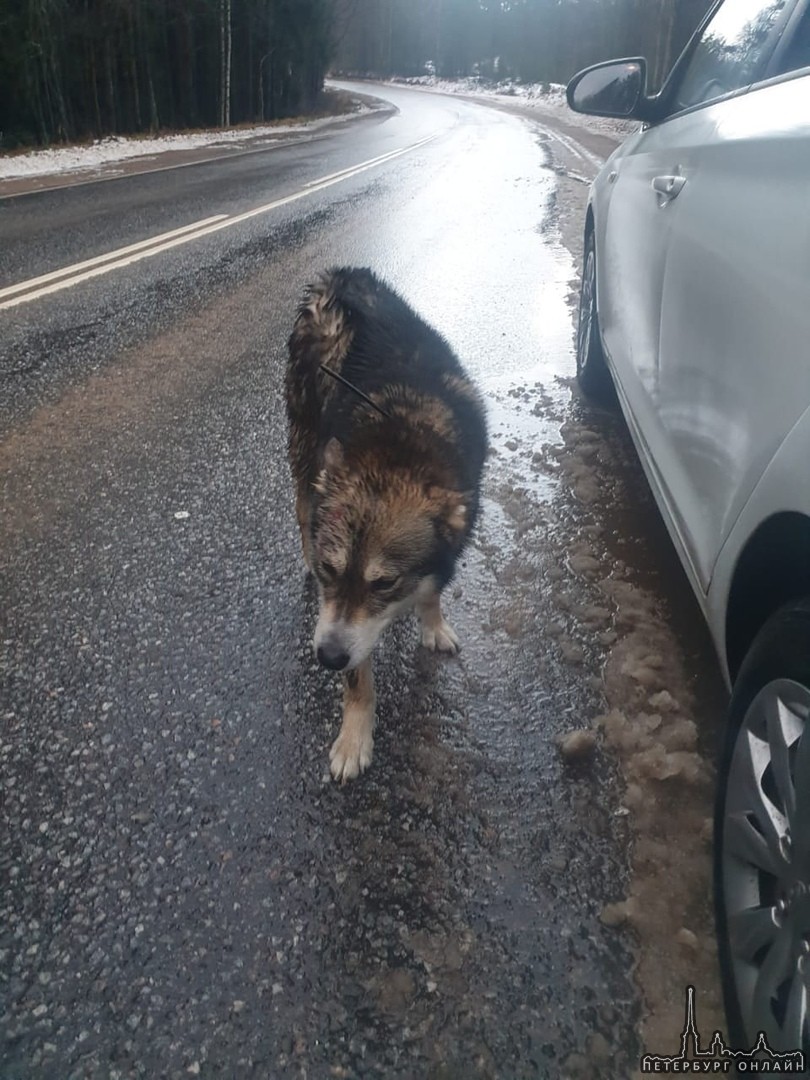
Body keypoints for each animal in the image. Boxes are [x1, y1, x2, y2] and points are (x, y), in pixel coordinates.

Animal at [285, 266, 488, 781]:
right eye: (331, 571)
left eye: (385, 583)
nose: (327, 658)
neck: (401, 443)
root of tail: (342, 279)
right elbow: (359, 678)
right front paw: (355, 736)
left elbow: (432, 589)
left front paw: (432, 621)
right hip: (302, 437)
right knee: (302, 503)